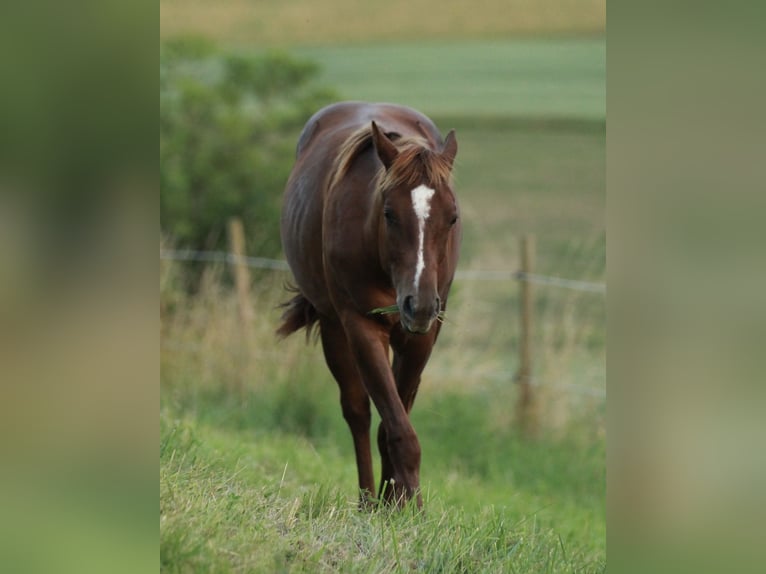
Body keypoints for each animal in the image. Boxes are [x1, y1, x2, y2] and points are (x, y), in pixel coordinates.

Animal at [282, 102, 462, 508]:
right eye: (389, 213)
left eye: (452, 217)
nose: (419, 304)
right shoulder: (361, 325)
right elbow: (390, 422)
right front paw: (403, 503)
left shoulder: (422, 337)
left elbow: (396, 419)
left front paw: (400, 502)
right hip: (333, 326)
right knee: (357, 412)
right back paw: (366, 498)